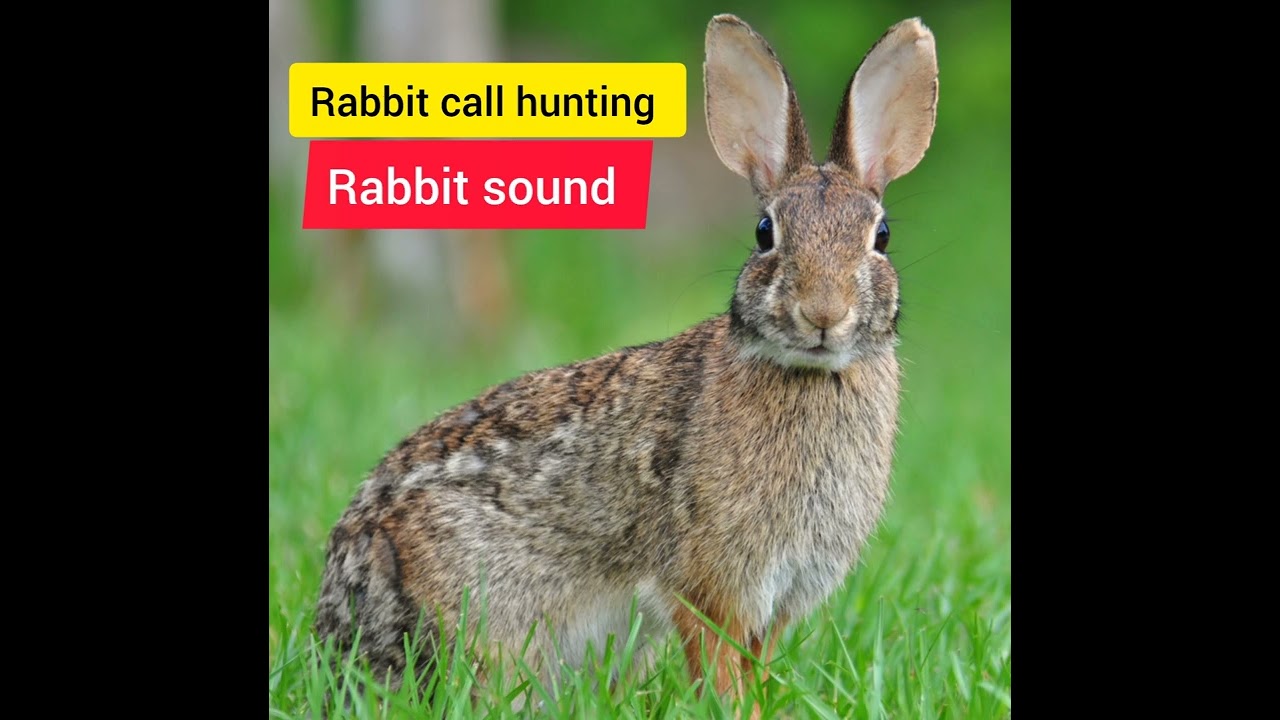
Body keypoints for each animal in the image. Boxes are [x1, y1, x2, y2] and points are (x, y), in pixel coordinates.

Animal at [314, 11, 938, 713]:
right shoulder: (707, 585)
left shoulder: (776, 601)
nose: (823, 314)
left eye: (880, 236)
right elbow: (719, 668)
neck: (809, 375)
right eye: (764, 233)